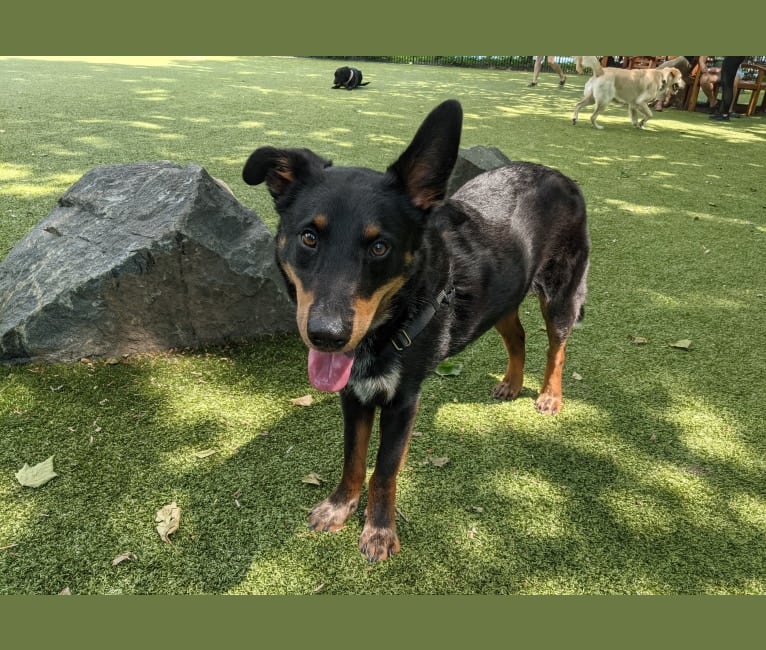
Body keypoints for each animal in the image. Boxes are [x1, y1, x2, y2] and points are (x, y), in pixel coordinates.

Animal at [243, 98, 592, 560]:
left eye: (379, 246)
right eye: (308, 237)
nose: (327, 336)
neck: (390, 325)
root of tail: (561, 175)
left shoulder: (402, 400)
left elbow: (384, 470)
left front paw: (378, 530)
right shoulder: (355, 395)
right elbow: (354, 458)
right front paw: (340, 506)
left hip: (560, 295)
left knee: (557, 347)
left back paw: (550, 395)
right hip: (504, 294)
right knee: (517, 335)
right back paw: (512, 383)